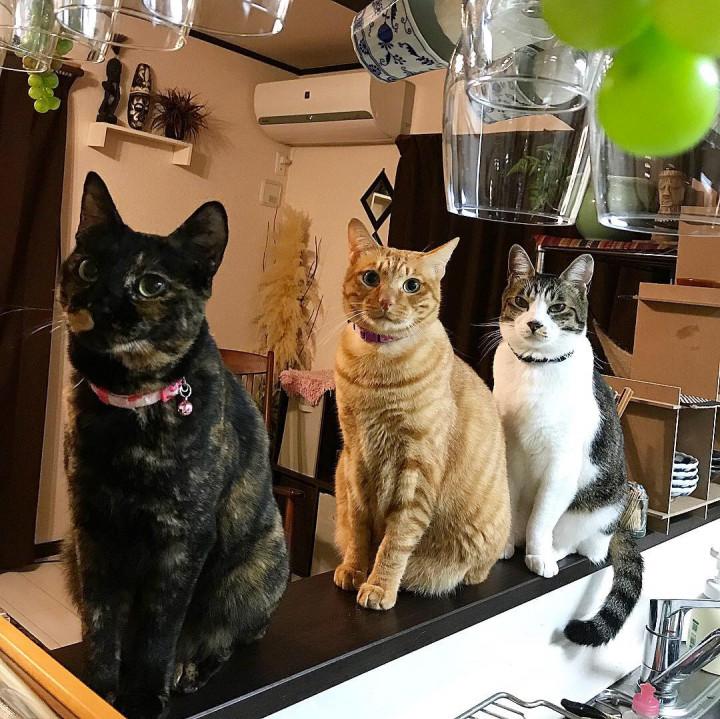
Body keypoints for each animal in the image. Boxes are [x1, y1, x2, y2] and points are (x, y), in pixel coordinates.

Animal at [60, 173, 288, 719]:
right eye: (89, 267)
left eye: (151, 285)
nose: (99, 304)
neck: (126, 411)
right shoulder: (92, 529)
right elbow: (102, 622)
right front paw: (97, 690)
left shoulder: (183, 540)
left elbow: (158, 631)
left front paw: (143, 697)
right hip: (68, 554)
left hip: (258, 564)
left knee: (225, 636)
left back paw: (190, 669)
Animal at [333, 219, 510, 610]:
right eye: (371, 278)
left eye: (411, 286)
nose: (386, 301)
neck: (377, 371)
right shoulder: (355, 454)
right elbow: (358, 527)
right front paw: (355, 568)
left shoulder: (416, 467)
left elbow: (395, 541)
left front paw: (379, 586)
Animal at [492, 244, 643, 646]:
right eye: (522, 301)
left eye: (556, 306)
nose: (534, 323)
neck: (536, 370)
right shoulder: (507, 451)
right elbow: (509, 500)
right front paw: (506, 543)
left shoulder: (561, 465)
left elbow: (542, 517)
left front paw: (538, 554)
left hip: (598, 508)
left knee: (586, 547)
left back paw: (555, 549)